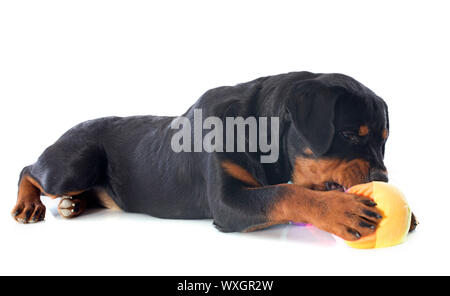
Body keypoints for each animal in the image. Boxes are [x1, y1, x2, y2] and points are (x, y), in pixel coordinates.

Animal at [11, 71, 418, 240]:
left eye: (384, 139)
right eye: (348, 134)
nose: (382, 179)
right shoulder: (227, 201)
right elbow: (285, 192)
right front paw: (341, 210)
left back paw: (74, 205)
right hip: (75, 162)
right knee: (28, 169)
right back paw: (30, 205)